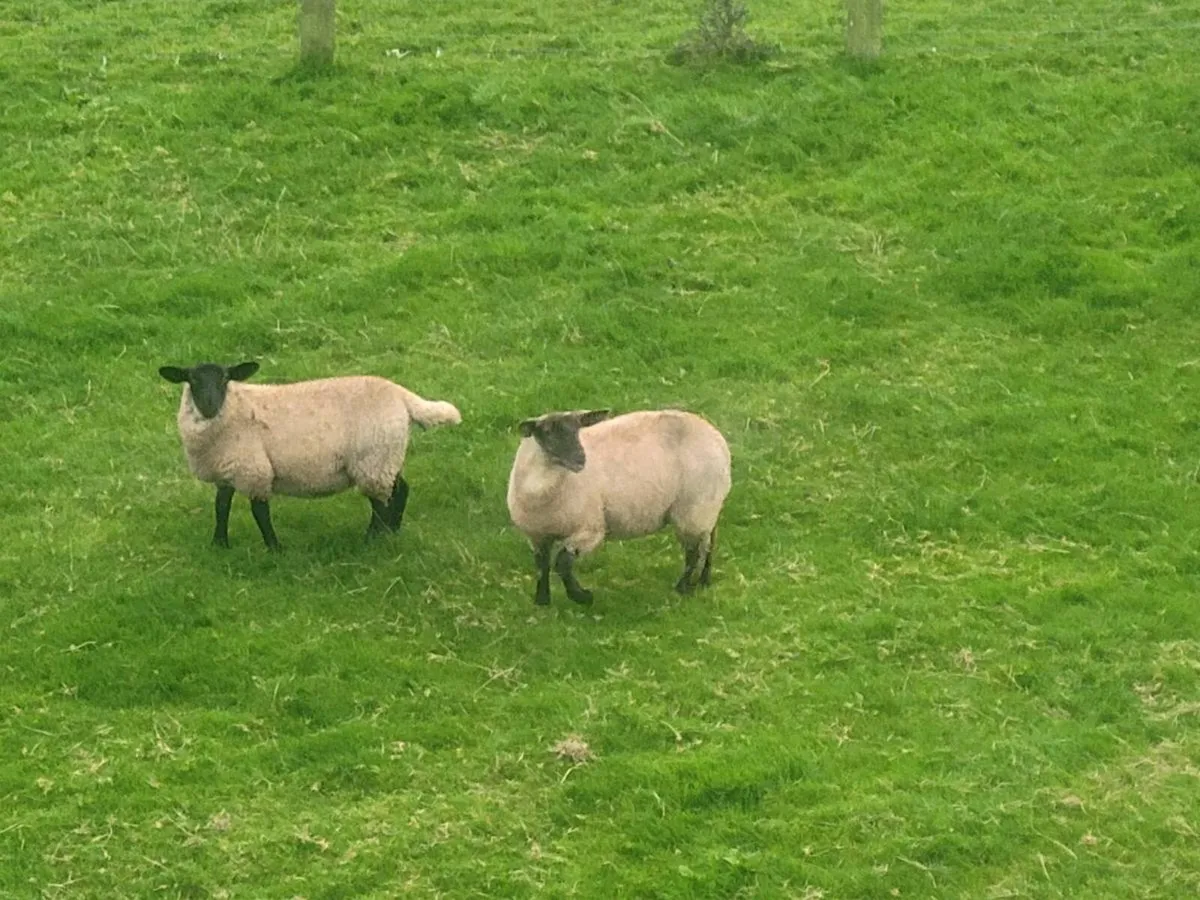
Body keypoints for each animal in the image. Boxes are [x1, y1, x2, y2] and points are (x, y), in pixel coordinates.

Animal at [158, 361, 461, 550]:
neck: (235, 408)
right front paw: (219, 544)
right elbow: (221, 507)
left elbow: (260, 512)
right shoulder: (226, 470)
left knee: (380, 503)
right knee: (400, 491)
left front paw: (274, 548)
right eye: (192, 379)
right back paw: (393, 531)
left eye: (225, 378)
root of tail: (402, 395)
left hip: (373, 459)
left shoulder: (254, 470)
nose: (210, 406)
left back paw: (373, 538)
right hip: (386, 457)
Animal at [506, 408, 731, 605]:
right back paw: (703, 581)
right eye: (546, 432)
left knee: (694, 552)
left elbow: (562, 562)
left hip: (694, 509)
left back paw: (682, 588)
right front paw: (542, 600)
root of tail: (716, 437)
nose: (580, 458)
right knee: (709, 541)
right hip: (707, 508)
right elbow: (541, 566)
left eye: (577, 429)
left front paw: (581, 597)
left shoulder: (590, 529)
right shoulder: (537, 535)